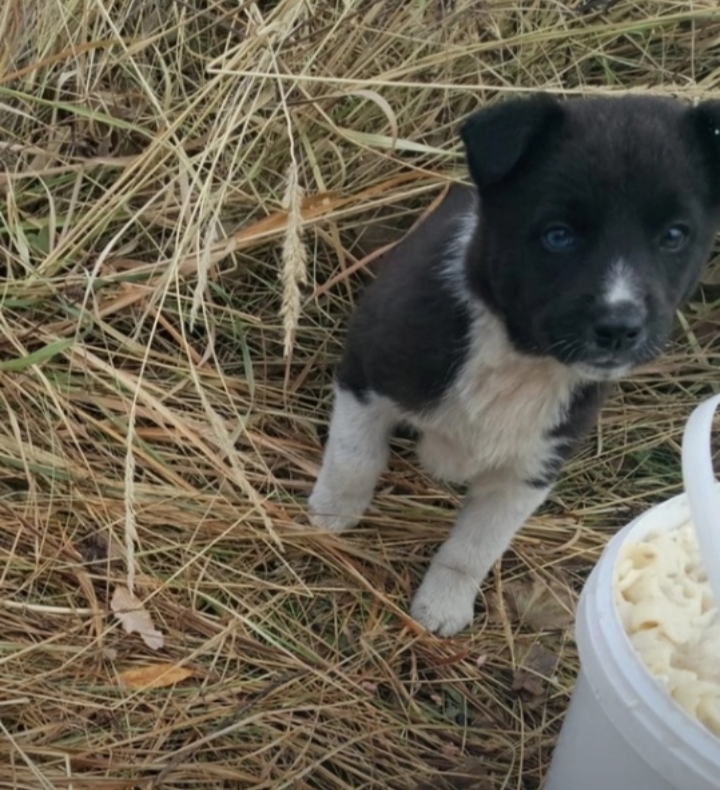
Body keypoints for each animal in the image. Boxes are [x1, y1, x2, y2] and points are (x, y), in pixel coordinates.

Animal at [306, 94, 720, 636]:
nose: (620, 326)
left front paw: (443, 605)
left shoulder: (531, 467)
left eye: (673, 236)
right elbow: (353, 459)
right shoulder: (367, 375)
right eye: (558, 236)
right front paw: (331, 516)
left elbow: (475, 546)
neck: (520, 358)